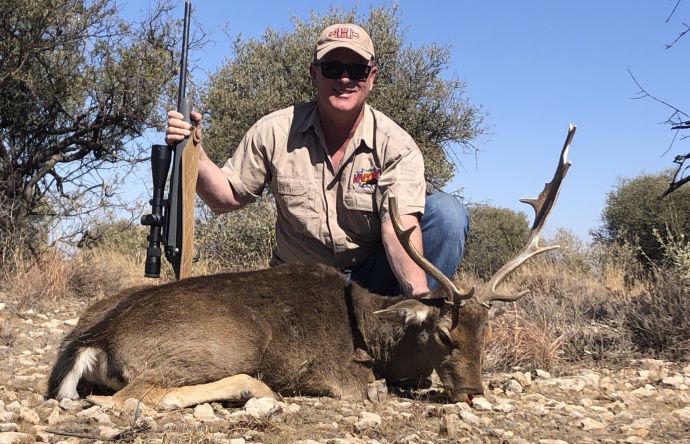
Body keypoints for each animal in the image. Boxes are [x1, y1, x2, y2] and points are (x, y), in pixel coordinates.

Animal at [46, 125, 575, 410]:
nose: (472, 393)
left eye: (489, 333)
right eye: (445, 334)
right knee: (133, 395)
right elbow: (371, 388)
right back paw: (256, 387)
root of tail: (97, 339)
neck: (375, 341)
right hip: (222, 345)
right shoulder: (337, 375)